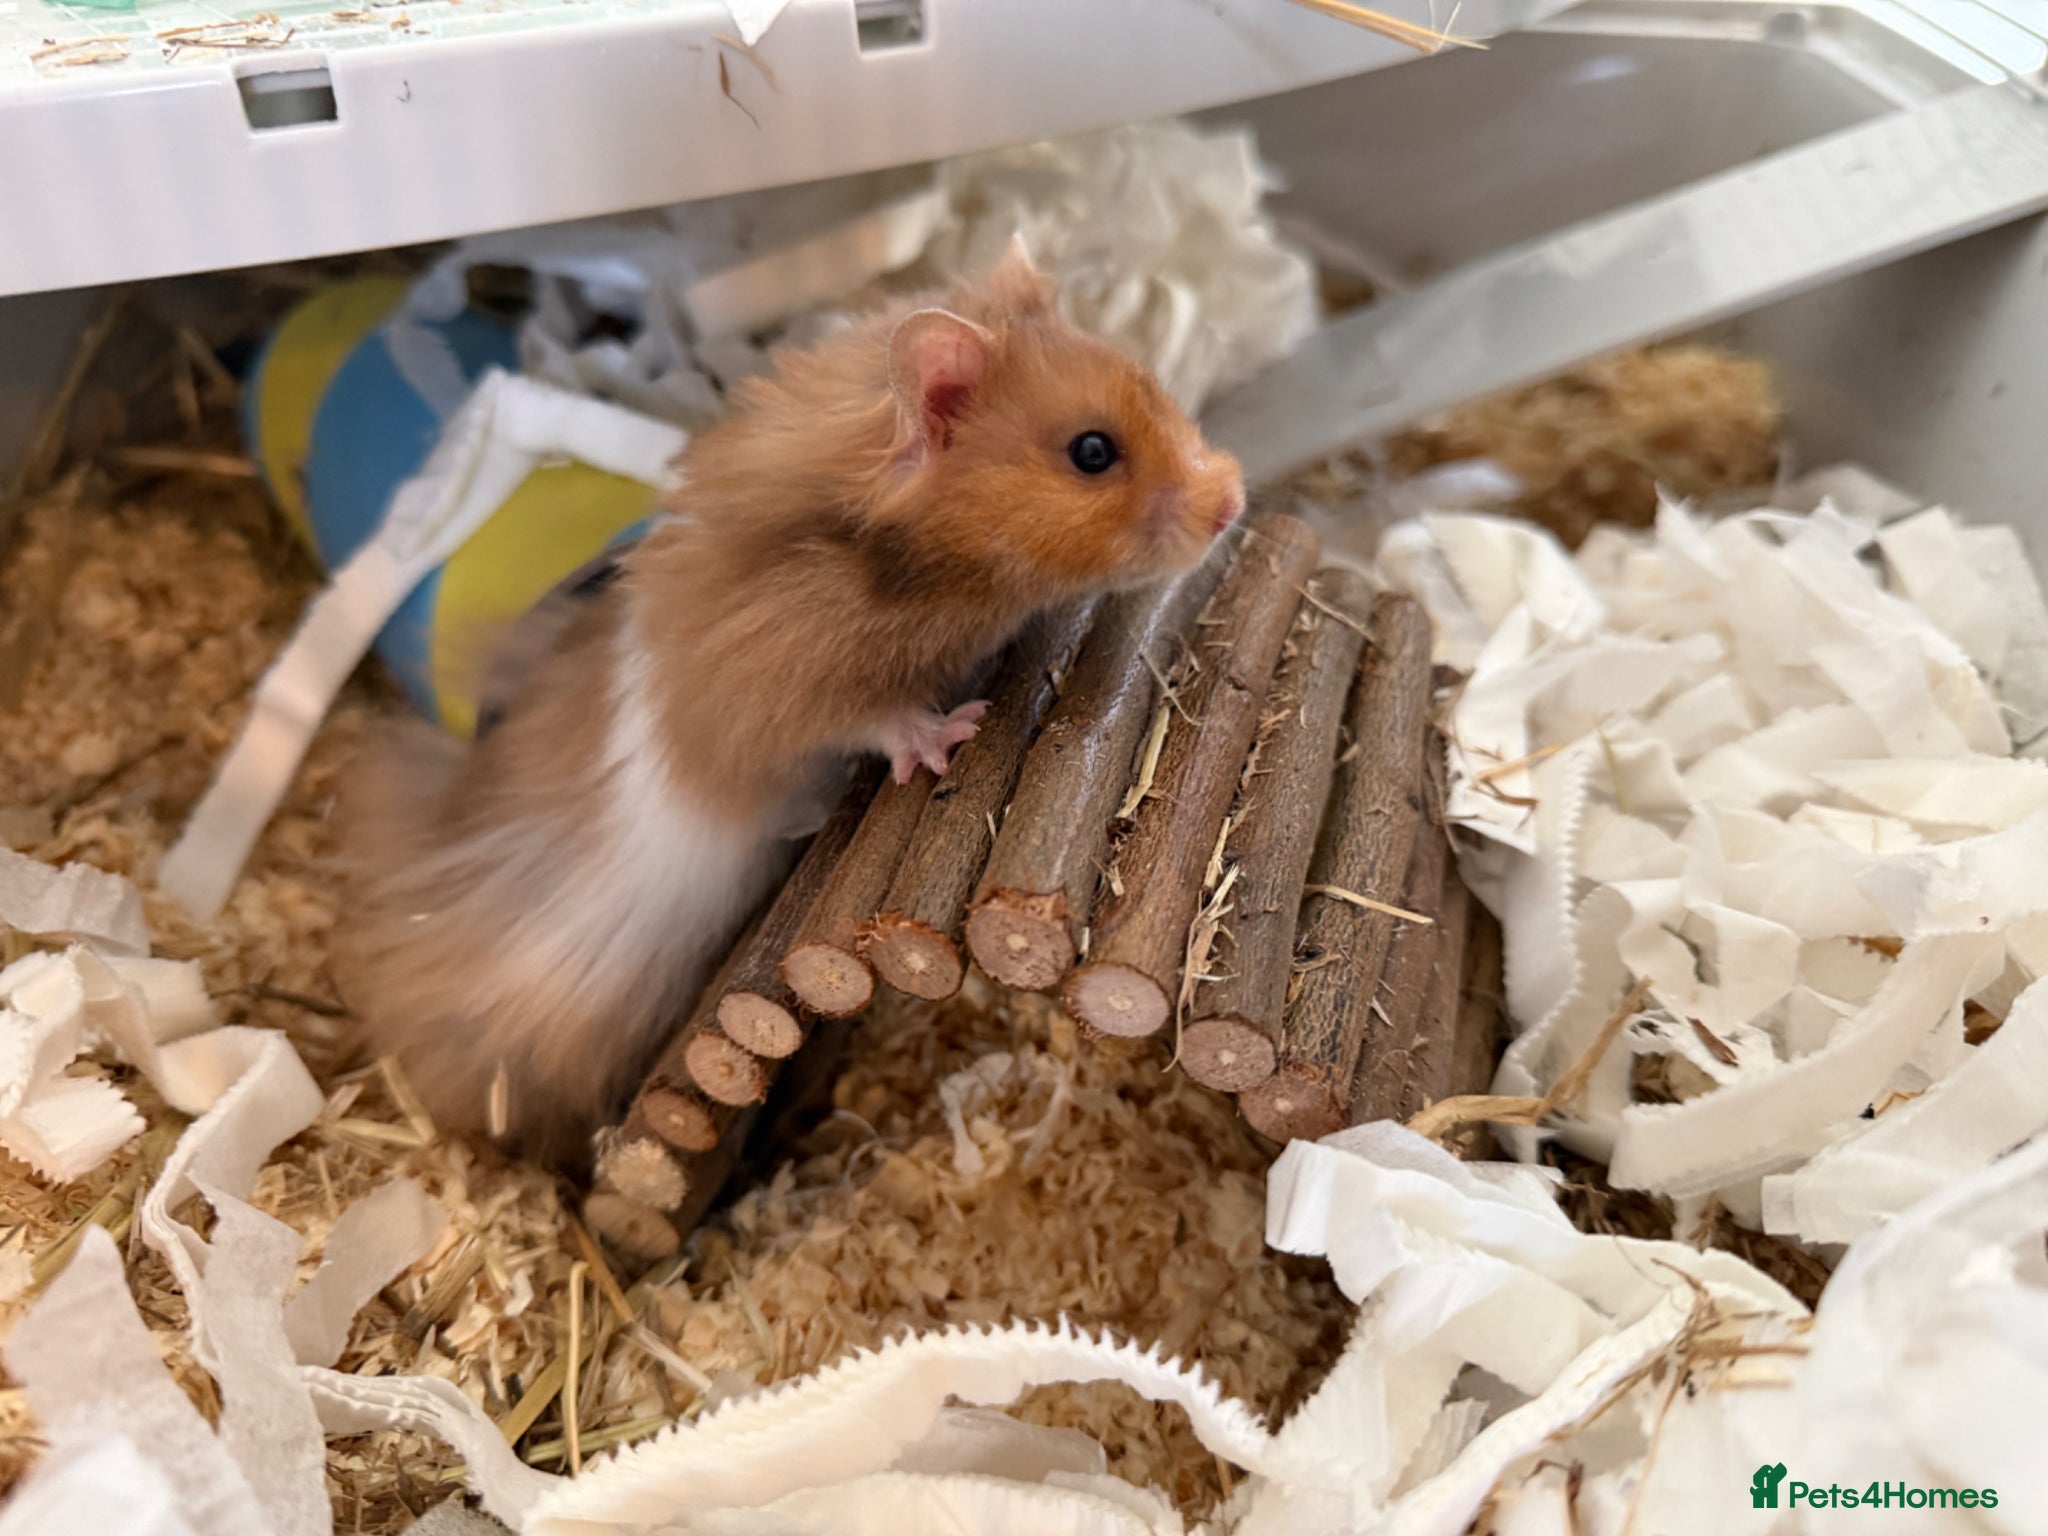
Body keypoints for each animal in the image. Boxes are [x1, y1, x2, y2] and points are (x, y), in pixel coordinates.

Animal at [340, 238, 1246, 1165]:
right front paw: (953, 734)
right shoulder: (777, 679)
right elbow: (872, 716)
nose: (1234, 498)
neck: (918, 563)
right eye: (1092, 452)